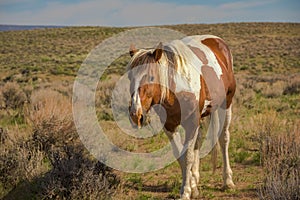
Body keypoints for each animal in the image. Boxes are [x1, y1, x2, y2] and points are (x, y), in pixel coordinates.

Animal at [127, 35, 236, 199]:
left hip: (226, 104)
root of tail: (218, 41)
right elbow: (181, 156)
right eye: (129, 77)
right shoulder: (170, 125)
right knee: (198, 142)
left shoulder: (191, 122)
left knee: (224, 139)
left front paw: (186, 191)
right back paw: (195, 179)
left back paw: (227, 181)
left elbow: (188, 156)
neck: (176, 87)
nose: (136, 114)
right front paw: (190, 187)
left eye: (151, 77)